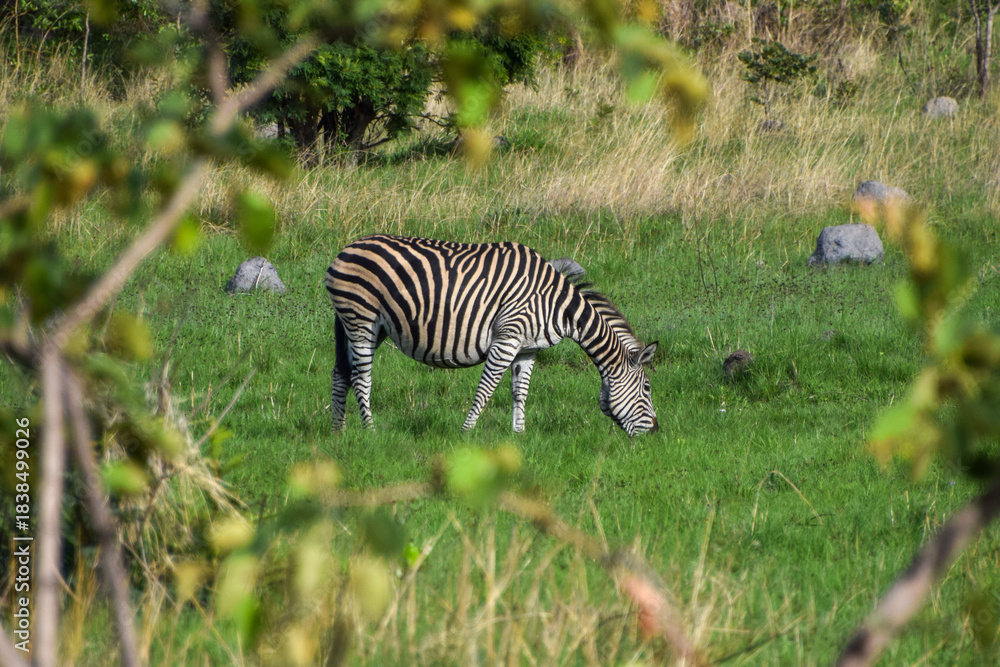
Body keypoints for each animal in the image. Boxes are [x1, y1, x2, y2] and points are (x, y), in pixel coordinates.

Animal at [324, 235, 658, 435]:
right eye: (647, 388)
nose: (655, 431)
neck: (557, 305)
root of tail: (346, 249)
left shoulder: (527, 348)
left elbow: (520, 390)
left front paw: (519, 435)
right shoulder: (507, 338)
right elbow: (486, 389)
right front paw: (465, 433)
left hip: (361, 325)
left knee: (340, 373)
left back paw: (339, 434)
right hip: (361, 319)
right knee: (361, 378)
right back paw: (370, 432)